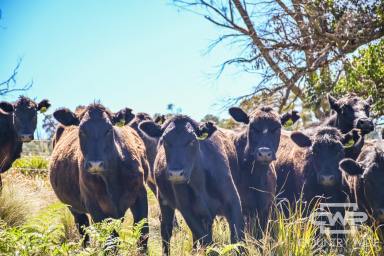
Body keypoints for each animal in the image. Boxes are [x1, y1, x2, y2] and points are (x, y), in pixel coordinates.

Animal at [48, 104, 150, 250]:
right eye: (81, 130)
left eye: (109, 129)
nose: (95, 164)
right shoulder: (94, 205)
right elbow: (110, 241)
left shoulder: (140, 194)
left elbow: (143, 234)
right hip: (73, 206)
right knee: (83, 228)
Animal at [140, 115, 244, 255]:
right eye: (165, 141)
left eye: (192, 141)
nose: (176, 173)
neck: (200, 183)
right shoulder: (187, 211)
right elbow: (207, 242)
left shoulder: (233, 203)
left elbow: (237, 241)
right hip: (163, 199)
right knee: (166, 228)